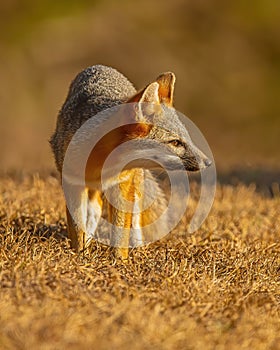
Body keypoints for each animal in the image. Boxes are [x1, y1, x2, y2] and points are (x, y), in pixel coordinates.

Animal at [51, 64, 211, 258]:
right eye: (175, 142)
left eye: (187, 138)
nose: (208, 162)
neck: (102, 165)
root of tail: (101, 67)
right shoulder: (72, 184)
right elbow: (77, 229)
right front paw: (79, 256)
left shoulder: (122, 185)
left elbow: (120, 234)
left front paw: (120, 261)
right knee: (94, 213)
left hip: (133, 187)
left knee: (131, 220)